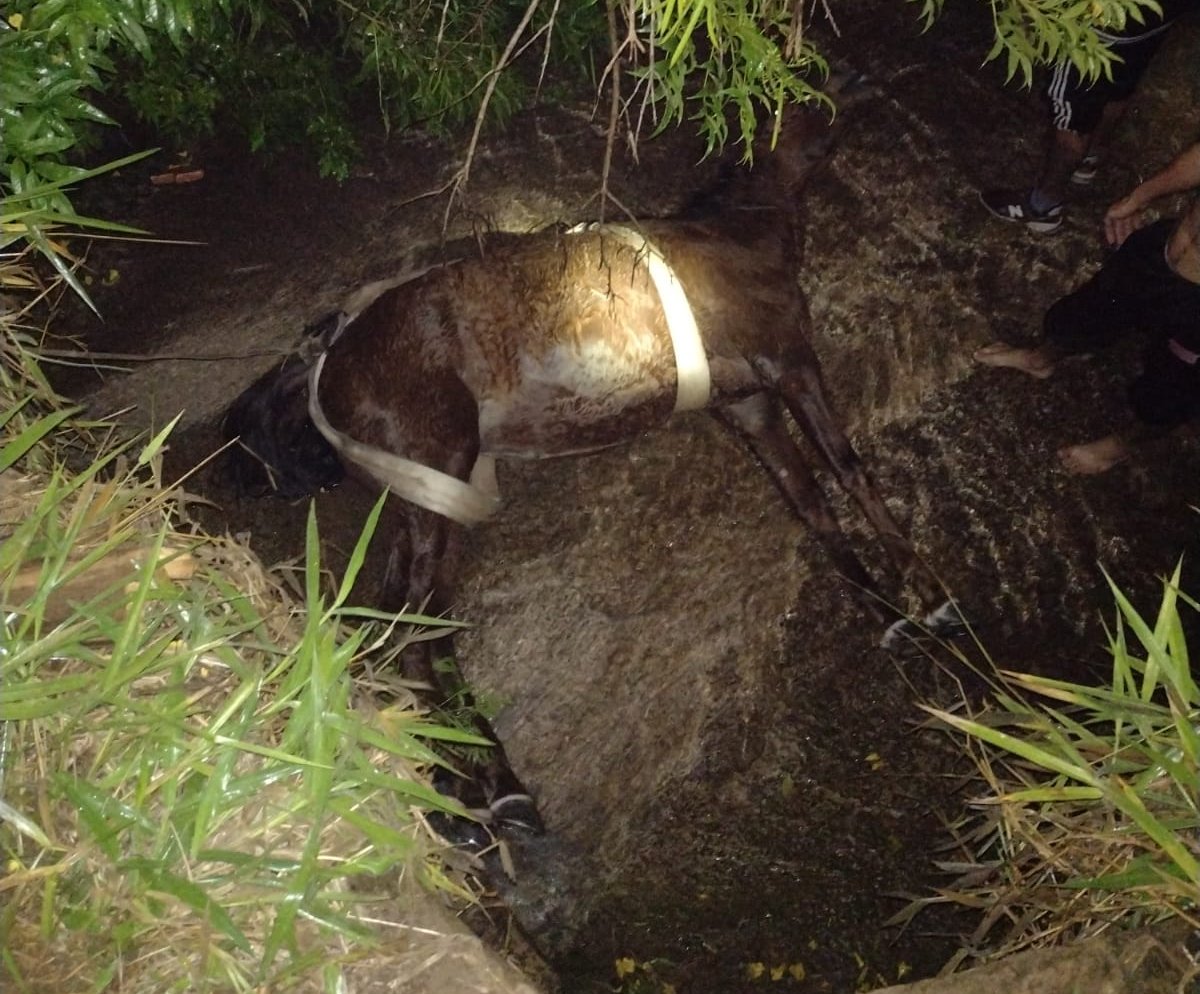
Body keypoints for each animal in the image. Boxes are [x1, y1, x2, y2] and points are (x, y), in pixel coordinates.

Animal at [221, 79, 962, 836]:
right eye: (804, 90)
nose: (857, 103)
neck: (738, 236)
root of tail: (325, 361)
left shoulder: (750, 403)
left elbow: (810, 502)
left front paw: (885, 607)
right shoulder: (790, 362)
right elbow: (848, 468)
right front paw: (929, 598)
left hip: (421, 497)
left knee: (393, 622)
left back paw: (465, 788)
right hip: (440, 472)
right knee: (419, 632)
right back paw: (494, 787)